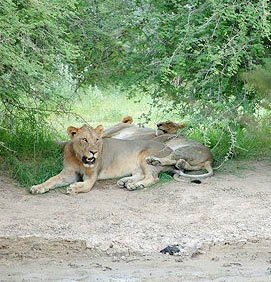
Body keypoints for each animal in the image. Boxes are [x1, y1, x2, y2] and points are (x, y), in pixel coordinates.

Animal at [30, 124, 174, 195]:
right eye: (84, 139)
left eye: (97, 139)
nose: (94, 152)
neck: (79, 159)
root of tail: (171, 150)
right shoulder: (68, 173)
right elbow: (51, 180)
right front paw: (38, 187)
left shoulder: (91, 176)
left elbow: (86, 186)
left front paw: (74, 188)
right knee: (141, 174)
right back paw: (125, 181)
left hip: (147, 158)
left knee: (152, 177)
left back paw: (136, 185)